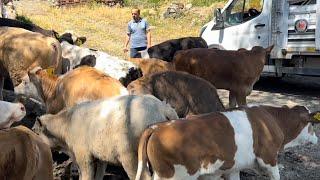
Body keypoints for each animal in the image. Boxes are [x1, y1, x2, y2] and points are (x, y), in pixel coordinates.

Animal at [35, 95, 180, 179]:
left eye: (35, 132)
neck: (66, 123)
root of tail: (163, 109)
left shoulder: (83, 154)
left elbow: (86, 175)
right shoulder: (100, 156)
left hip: (130, 153)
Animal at [136, 105, 320, 179]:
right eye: (312, 125)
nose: (317, 138)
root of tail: (157, 127)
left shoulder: (233, 168)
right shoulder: (269, 160)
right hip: (177, 176)